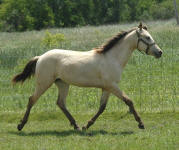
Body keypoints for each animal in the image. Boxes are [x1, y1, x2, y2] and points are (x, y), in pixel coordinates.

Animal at [12, 22, 163, 131]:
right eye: (147, 37)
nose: (160, 52)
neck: (112, 58)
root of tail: (40, 57)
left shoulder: (107, 88)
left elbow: (102, 107)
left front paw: (87, 125)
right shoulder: (112, 85)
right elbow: (129, 101)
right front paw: (141, 124)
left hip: (62, 84)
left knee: (60, 103)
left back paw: (76, 126)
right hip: (44, 83)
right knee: (32, 99)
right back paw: (21, 125)